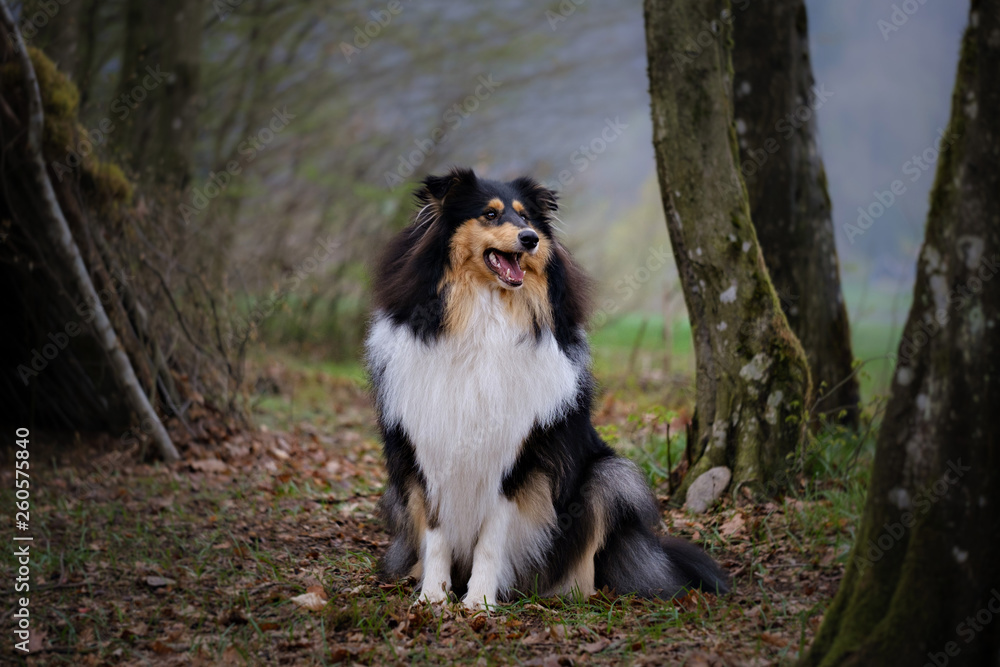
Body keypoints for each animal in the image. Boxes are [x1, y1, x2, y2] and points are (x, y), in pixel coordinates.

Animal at [366, 168, 728, 612]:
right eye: (489, 214)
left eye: (527, 218)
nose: (530, 239)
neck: (484, 316)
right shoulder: (427, 451)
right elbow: (436, 533)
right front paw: (432, 597)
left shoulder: (518, 457)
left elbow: (492, 537)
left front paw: (479, 602)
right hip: (395, 492)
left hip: (611, 476)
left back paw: (566, 593)